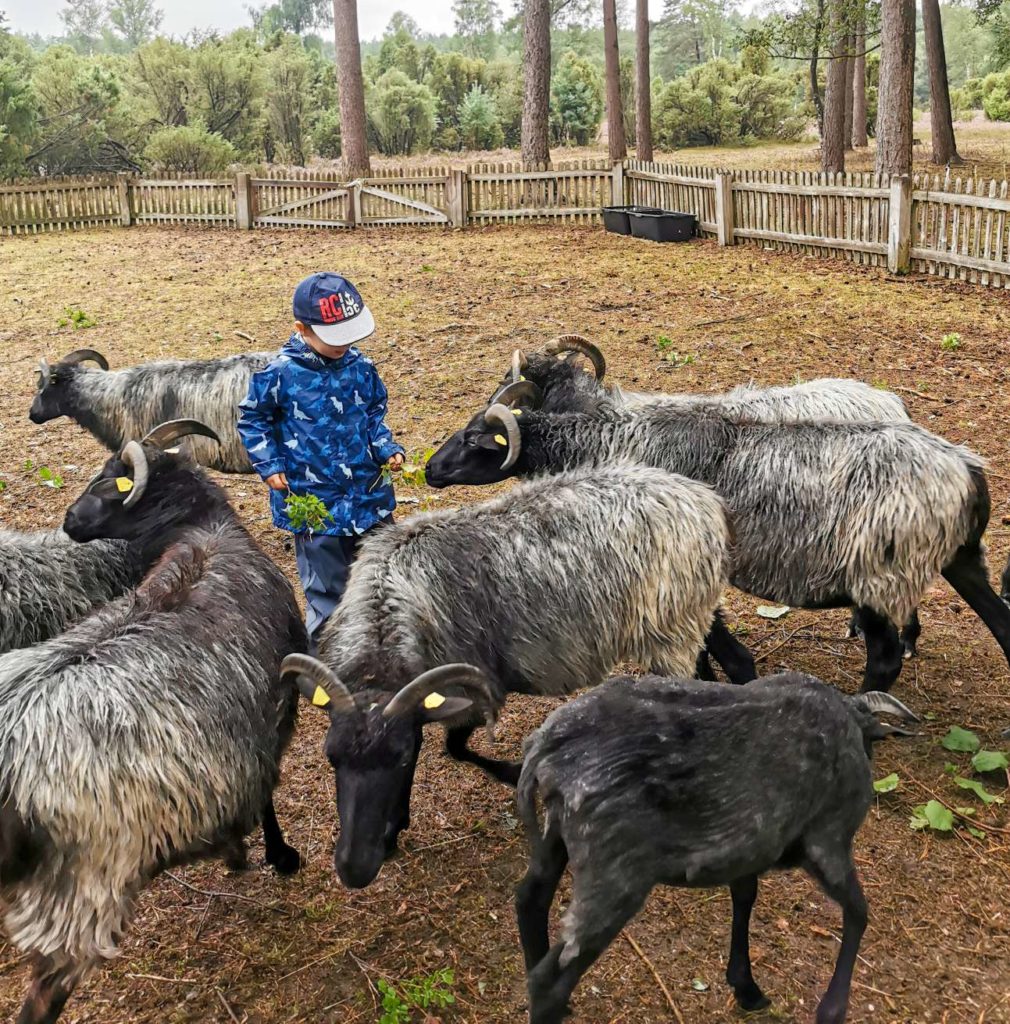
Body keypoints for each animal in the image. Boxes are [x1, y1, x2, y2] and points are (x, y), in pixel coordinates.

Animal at [278, 464, 729, 888]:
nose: (354, 869)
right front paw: (394, 829)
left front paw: (516, 775)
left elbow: (457, 748)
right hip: (689, 627)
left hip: (672, 633)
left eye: (399, 757)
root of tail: (703, 500)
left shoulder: (475, 686)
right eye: (331, 756)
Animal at [426, 395, 1007, 692]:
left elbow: (715, 646)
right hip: (960, 558)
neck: (615, 442)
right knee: (1001, 622)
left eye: (473, 439)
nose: (429, 469)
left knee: (884, 661)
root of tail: (967, 469)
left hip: (884, 575)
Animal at [516, 671, 917, 1024]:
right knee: (548, 982)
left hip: (557, 838)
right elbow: (859, 913)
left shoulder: (748, 848)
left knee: (530, 899)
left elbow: (745, 896)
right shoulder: (829, 839)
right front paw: (831, 1010)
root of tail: (545, 750)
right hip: (614, 876)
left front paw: (746, 986)